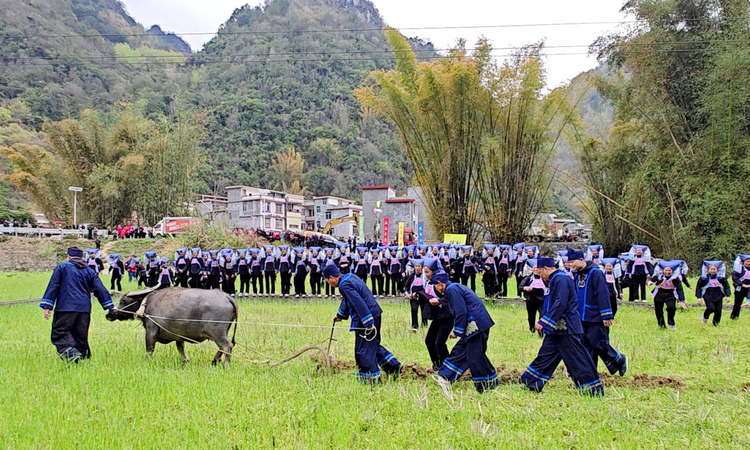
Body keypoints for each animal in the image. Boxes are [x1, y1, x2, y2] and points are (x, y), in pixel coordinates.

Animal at [107, 288, 236, 366]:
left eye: (123, 300)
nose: (109, 314)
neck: (147, 303)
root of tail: (226, 296)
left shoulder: (151, 331)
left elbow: (149, 349)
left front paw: (146, 361)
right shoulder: (179, 336)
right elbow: (180, 348)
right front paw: (185, 361)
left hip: (217, 333)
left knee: (226, 346)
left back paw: (225, 365)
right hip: (222, 332)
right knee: (224, 347)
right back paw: (214, 361)